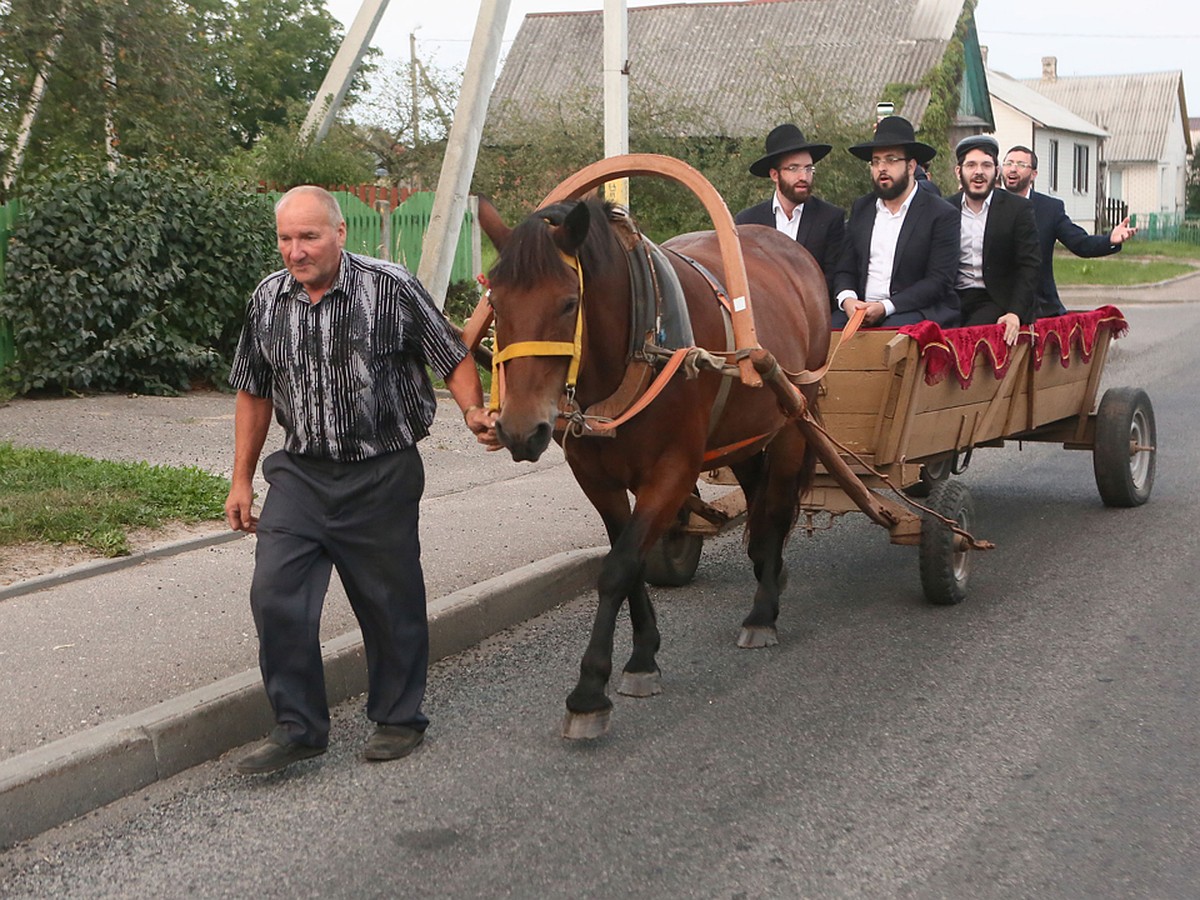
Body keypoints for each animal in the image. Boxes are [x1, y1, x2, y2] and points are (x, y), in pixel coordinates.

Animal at [477, 196, 825, 739]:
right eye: (497, 305)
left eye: (568, 303)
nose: (519, 429)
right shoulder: (596, 478)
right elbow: (631, 559)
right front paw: (643, 656)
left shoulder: (673, 471)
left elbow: (618, 567)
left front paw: (589, 691)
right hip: (745, 435)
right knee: (760, 501)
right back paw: (768, 569)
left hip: (791, 420)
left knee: (776, 508)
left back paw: (762, 611)